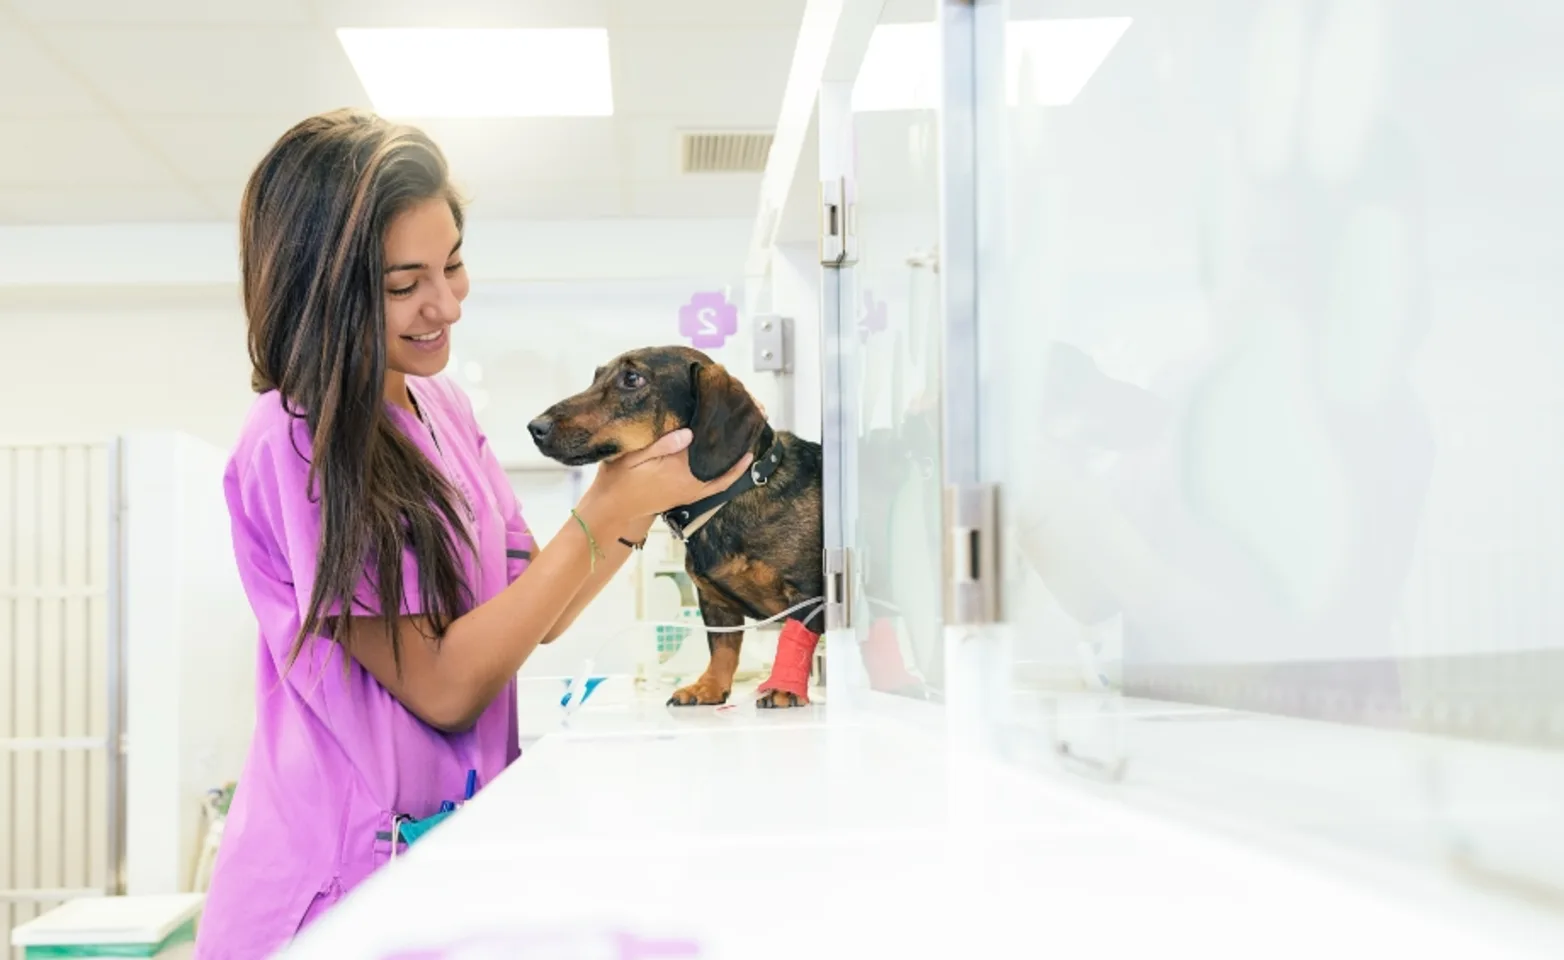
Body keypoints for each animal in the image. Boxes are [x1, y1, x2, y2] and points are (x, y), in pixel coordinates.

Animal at [528, 345, 825, 706]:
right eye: (596, 376)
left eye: (632, 378)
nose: (535, 427)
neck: (736, 494)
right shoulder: (714, 604)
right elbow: (722, 648)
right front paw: (708, 688)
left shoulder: (806, 593)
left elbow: (797, 638)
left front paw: (784, 688)